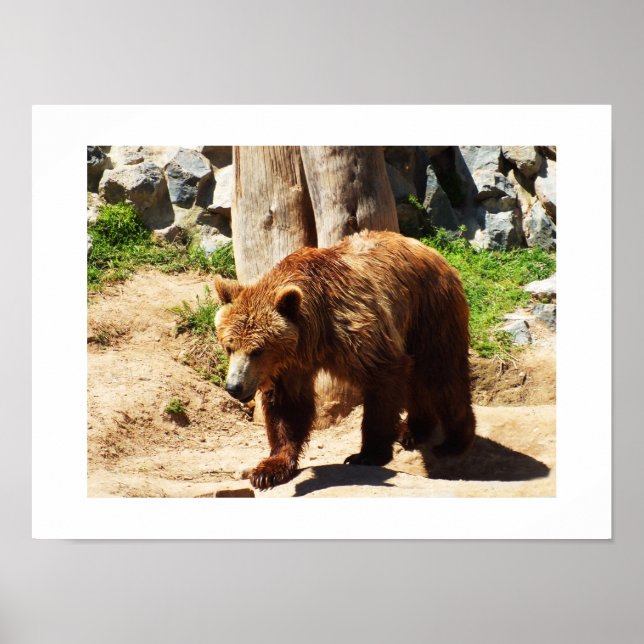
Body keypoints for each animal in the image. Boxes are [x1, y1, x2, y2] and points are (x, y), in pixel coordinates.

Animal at [214, 230, 475, 490]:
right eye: (229, 347)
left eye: (257, 350)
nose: (234, 386)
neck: (315, 335)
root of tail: (429, 249)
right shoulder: (289, 365)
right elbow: (287, 407)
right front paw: (269, 469)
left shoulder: (355, 329)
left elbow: (383, 379)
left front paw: (367, 454)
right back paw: (412, 430)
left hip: (430, 311)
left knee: (442, 373)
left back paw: (455, 440)